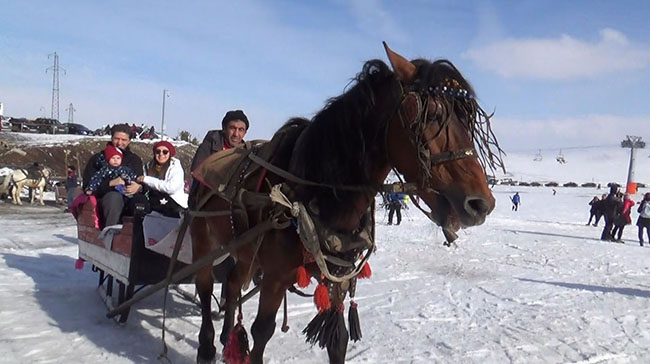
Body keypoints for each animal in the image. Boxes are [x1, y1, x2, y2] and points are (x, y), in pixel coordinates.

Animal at [187, 44, 502, 364]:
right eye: (434, 115)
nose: (481, 204)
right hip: (203, 239)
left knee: (232, 282)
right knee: (204, 286)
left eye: (467, 122)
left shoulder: (338, 276)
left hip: (244, 250)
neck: (316, 189)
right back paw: (207, 345)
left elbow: (338, 339)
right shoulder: (275, 277)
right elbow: (262, 332)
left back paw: (227, 337)